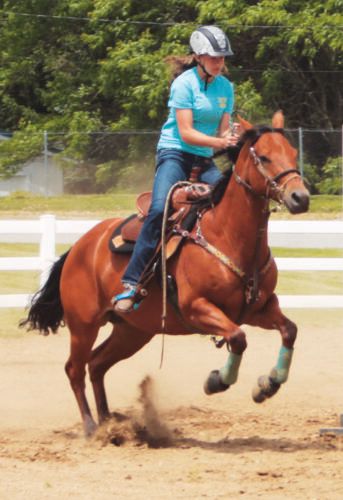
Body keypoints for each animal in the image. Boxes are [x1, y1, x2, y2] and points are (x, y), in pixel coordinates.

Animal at [20, 111, 312, 436]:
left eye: (293, 153)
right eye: (264, 156)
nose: (300, 197)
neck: (227, 236)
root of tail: (79, 247)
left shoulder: (259, 308)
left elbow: (289, 330)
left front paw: (268, 384)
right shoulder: (197, 308)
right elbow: (238, 338)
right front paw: (216, 381)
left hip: (132, 331)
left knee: (96, 364)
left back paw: (111, 423)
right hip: (83, 325)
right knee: (75, 369)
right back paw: (92, 427)